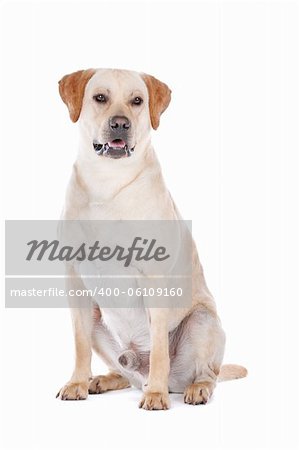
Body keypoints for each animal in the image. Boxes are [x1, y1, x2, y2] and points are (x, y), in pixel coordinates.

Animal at [56, 68, 248, 410]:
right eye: (100, 97)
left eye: (137, 101)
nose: (121, 123)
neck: (108, 181)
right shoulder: (75, 281)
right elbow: (80, 345)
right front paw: (76, 383)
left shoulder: (154, 280)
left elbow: (159, 349)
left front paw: (156, 396)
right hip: (97, 320)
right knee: (124, 372)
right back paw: (103, 379)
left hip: (202, 321)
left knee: (207, 374)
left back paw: (192, 388)